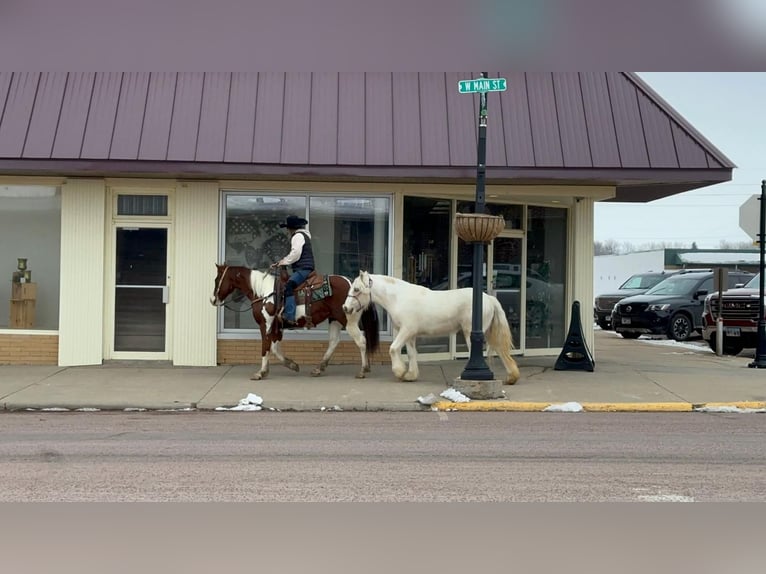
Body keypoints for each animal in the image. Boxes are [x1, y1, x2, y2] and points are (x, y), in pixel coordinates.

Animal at [210, 266, 380, 382]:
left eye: (217, 280)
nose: (213, 300)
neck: (263, 293)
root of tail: (351, 282)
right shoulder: (277, 328)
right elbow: (274, 348)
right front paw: (292, 364)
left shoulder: (266, 324)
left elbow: (266, 347)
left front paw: (260, 372)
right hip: (334, 320)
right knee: (334, 341)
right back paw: (319, 368)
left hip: (348, 320)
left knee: (361, 341)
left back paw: (363, 370)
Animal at [342, 272, 520, 388]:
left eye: (356, 289)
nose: (345, 308)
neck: (399, 298)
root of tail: (488, 298)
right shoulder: (410, 335)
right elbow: (411, 354)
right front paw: (410, 375)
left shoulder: (406, 330)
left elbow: (393, 349)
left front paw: (400, 372)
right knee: (501, 350)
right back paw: (511, 377)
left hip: (472, 332)